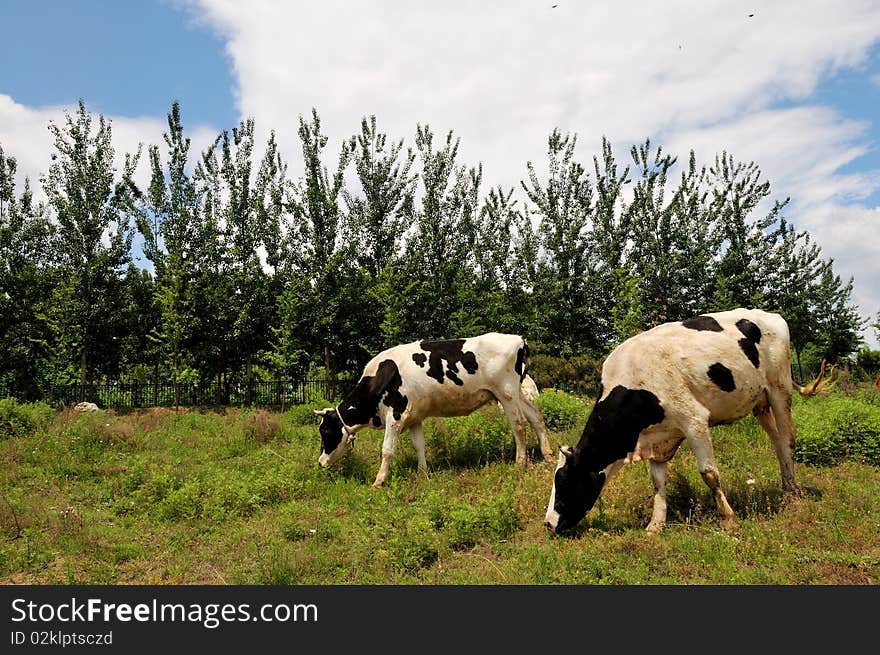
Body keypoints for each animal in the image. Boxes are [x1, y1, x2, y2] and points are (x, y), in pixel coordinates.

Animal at [314, 334, 552, 486]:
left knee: (518, 425)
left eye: (325, 431)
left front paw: (378, 481)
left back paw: (520, 463)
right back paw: (548, 456)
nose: (320, 462)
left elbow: (387, 449)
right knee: (536, 417)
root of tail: (518, 339)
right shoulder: (414, 417)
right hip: (518, 392)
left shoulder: (396, 414)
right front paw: (423, 473)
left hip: (507, 392)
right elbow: (419, 445)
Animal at [544, 310, 832, 536]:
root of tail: (771, 315)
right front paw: (655, 524)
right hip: (759, 403)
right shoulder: (659, 439)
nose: (548, 524)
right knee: (777, 442)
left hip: (780, 389)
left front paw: (728, 520)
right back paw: (786, 487)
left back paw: (792, 494)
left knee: (788, 439)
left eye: (564, 482)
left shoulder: (694, 420)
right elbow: (657, 481)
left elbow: (709, 474)